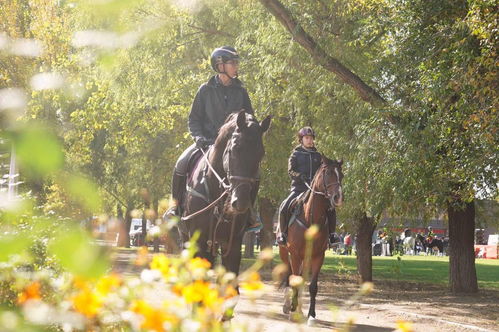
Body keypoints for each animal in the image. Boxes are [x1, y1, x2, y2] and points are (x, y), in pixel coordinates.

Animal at [280, 157, 342, 322]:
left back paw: (299, 310)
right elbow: (294, 281)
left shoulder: (318, 256)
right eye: (328, 173)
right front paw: (292, 309)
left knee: (301, 279)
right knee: (290, 277)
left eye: (342, 175)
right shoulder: (295, 255)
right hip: (285, 253)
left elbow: (312, 286)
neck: (311, 219)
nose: (338, 197)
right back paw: (288, 306)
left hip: (306, 258)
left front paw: (311, 314)